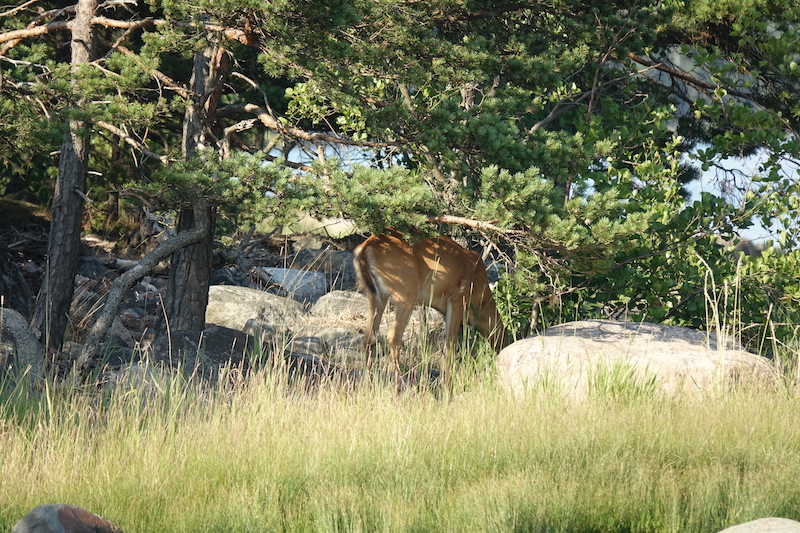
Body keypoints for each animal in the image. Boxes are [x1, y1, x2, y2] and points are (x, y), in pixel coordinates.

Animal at [353, 228, 509, 383]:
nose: (501, 349)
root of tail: (366, 247)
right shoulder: (457, 299)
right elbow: (450, 345)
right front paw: (448, 384)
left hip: (376, 296)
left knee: (369, 337)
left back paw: (370, 382)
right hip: (406, 292)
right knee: (393, 336)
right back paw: (399, 385)